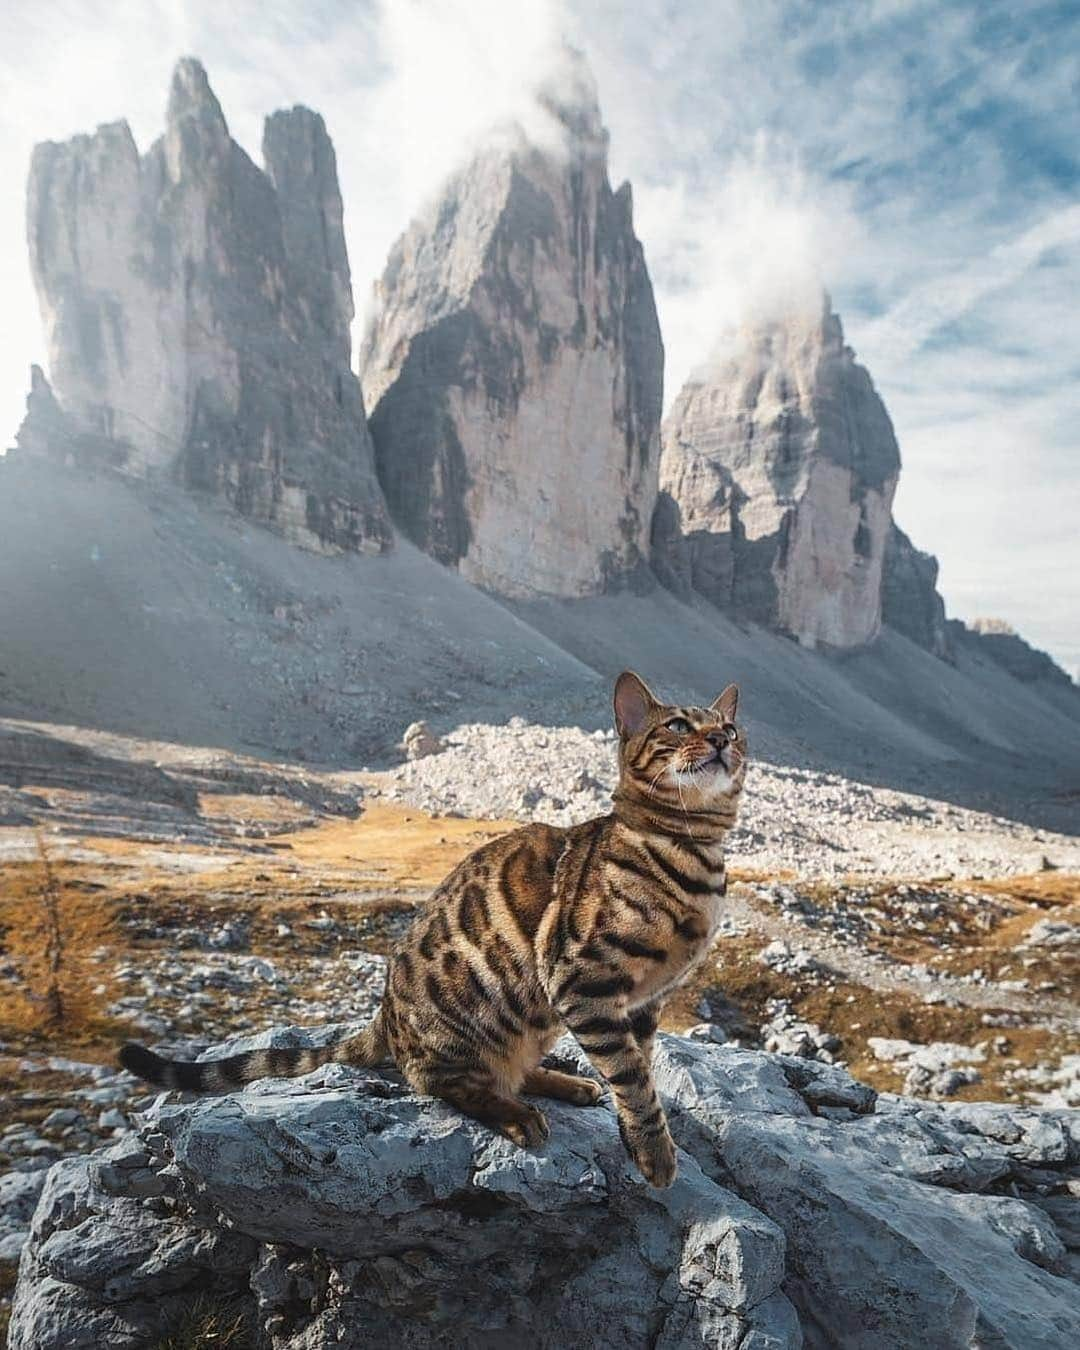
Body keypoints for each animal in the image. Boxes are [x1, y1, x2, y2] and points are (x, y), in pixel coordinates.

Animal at [118, 669, 745, 1188]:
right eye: (679, 725)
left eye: (732, 728)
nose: (721, 740)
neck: (693, 850)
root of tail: (386, 1015)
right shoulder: (582, 978)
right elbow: (632, 1076)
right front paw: (654, 1153)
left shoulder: (643, 1000)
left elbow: (637, 1066)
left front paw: (634, 1127)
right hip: (478, 1017)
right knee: (447, 1082)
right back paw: (519, 1115)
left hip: (534, 1020)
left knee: (512, 1070)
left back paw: (566, 1083)